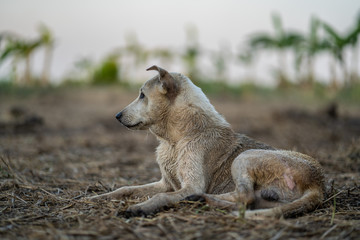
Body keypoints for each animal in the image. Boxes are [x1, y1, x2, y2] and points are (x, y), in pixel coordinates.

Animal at [88, 64, 324, 218]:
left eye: (142, 95)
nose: (117, 116)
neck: (178, 139)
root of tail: (318, 184)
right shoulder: (166, 183)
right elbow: (126, 188)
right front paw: (96, 198)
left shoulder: (189, 185)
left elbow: (161, 197)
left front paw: (141, 208)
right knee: (248, 202)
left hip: (245, 158)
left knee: (245, 197)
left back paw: (202, 199)